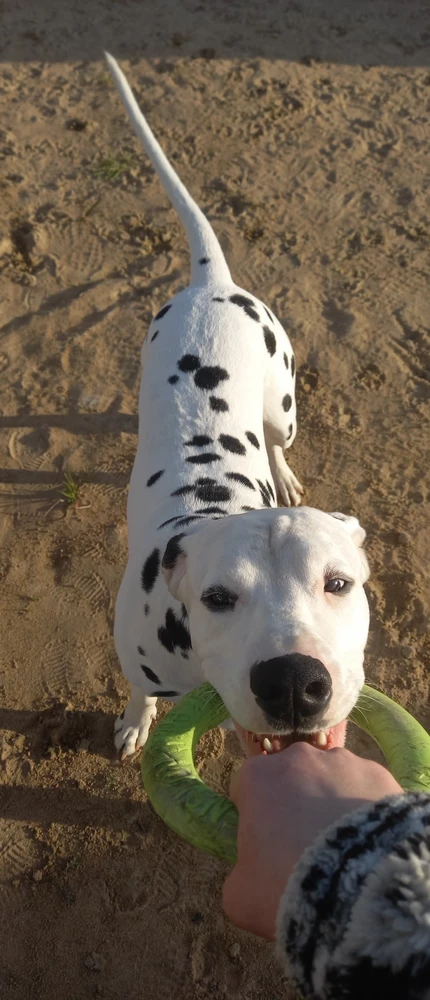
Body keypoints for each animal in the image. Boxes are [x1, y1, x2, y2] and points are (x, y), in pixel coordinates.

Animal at [106, 52, 370, 756]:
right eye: (218, 597)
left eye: (339, 583)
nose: (294, 683)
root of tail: (212, 282)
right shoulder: (136, 657)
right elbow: (140, 691)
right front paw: (135, 721)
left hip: (284, 403)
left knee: (277, 439)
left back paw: (283, 472)